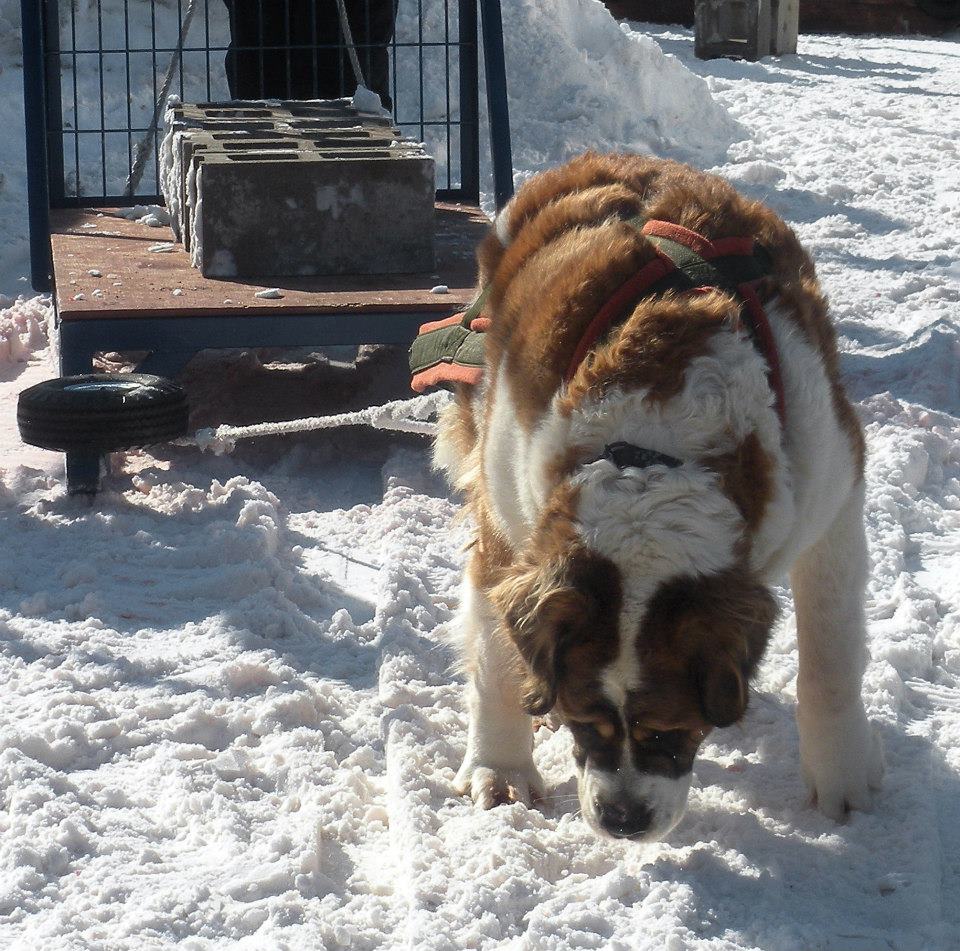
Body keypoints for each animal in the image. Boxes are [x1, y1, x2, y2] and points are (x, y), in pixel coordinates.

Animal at [436, 154, 884, 840]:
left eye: (672, 730)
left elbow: (830, 660)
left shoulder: (832, 496)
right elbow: (496, 659)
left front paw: (843, 781)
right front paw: (501, 770)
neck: (650, 455)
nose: (623, 819)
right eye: (584, 723)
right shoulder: (508, 513)